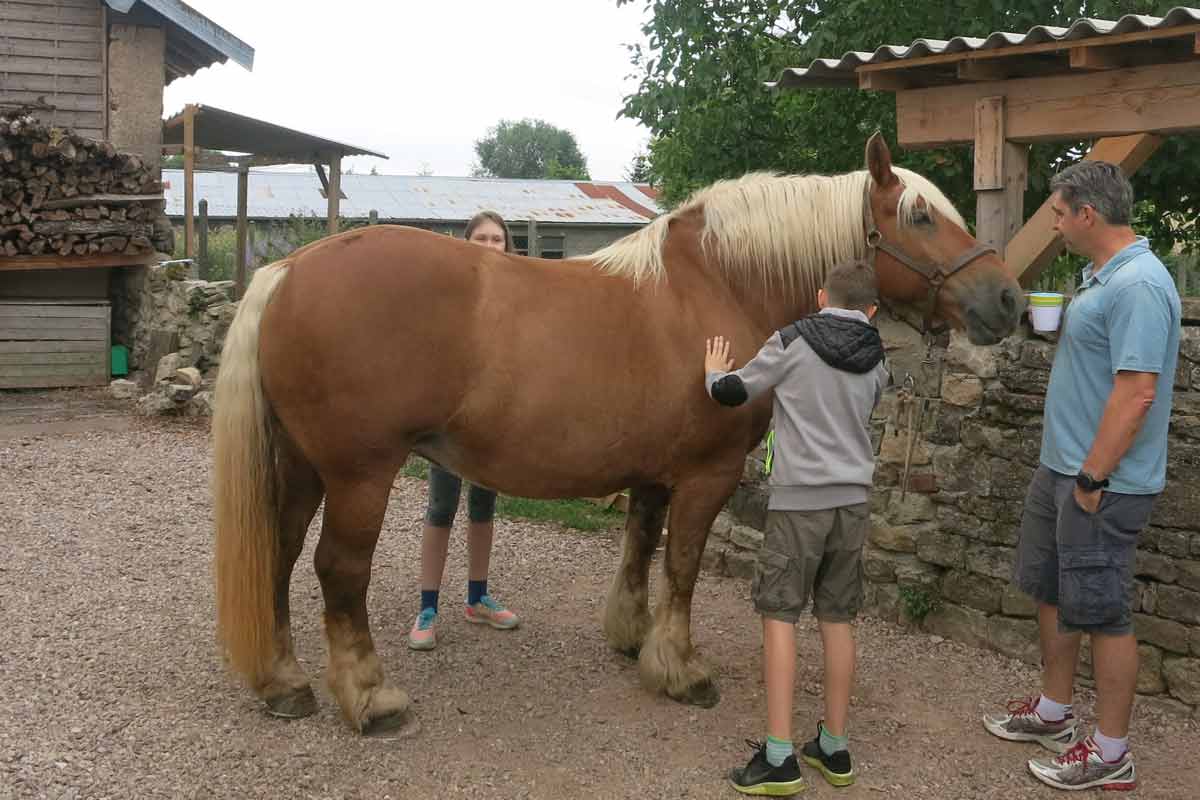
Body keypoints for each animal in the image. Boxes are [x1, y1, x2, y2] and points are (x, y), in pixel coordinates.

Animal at [212, 134, 1023, 736]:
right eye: (920, 217)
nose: (1009, 299)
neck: (719, 285)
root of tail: (290, 268)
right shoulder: (707, 473)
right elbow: (684, 566)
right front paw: (682, 670)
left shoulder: (654, 473)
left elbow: (640, 546)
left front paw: (634, 640)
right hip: (359, 474)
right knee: (337, 571)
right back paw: (370, 699)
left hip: (303, 466)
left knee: (281, 554)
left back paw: (285, 684)